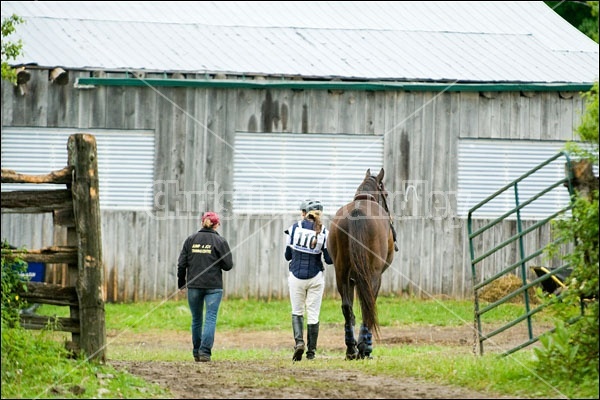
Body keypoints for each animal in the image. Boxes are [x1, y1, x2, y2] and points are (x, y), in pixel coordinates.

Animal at [326, 166, 396, 360]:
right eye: (386, 193)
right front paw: (365, 347)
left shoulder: (351, 279)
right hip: (372, 275)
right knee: (368, 305)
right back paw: (365, 348)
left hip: (342, 273)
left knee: (347, 308)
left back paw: (351, 349)